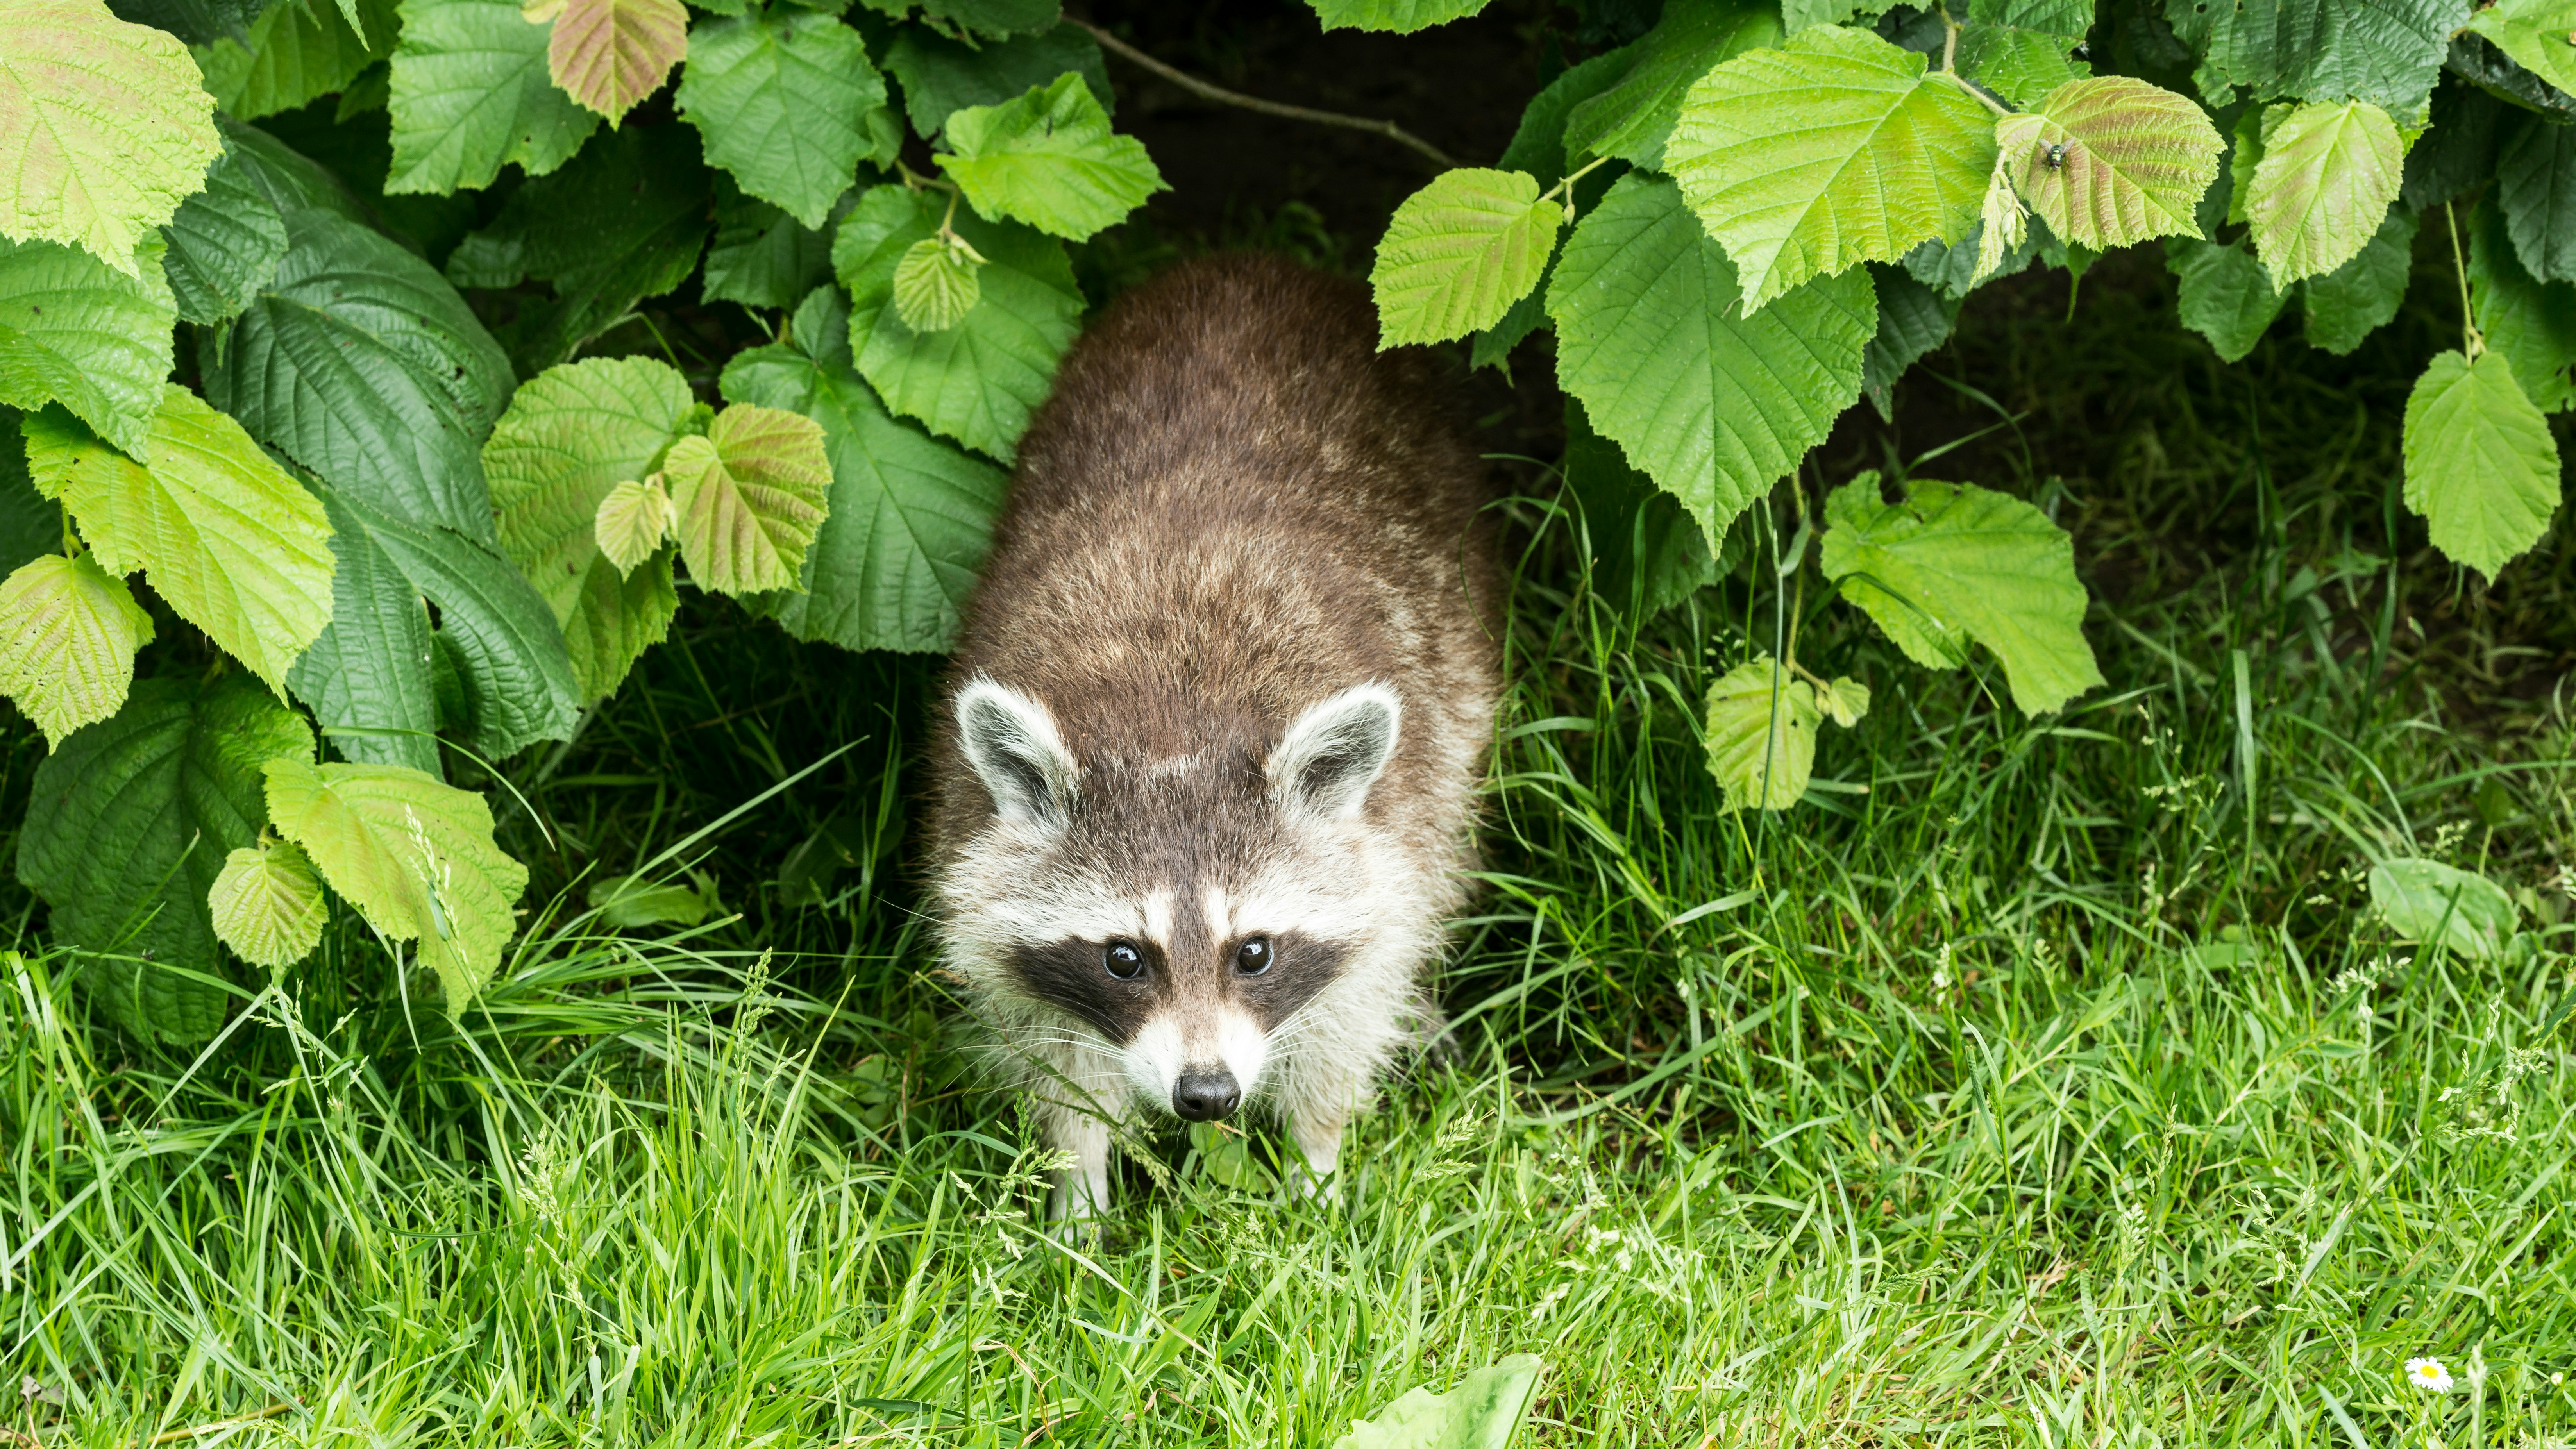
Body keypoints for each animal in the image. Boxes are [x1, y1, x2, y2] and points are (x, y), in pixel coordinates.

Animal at [928, 254, 1501, 1218]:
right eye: (1124, 956)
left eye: (1254, 951)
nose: (1206, 1094)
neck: (1177, 723)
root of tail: (1251, 265)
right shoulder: (974, 852)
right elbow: (1058, 1059)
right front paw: (1076, 1189)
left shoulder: (1395, 821)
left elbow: (1351, 1010)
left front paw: (1316, 1168)